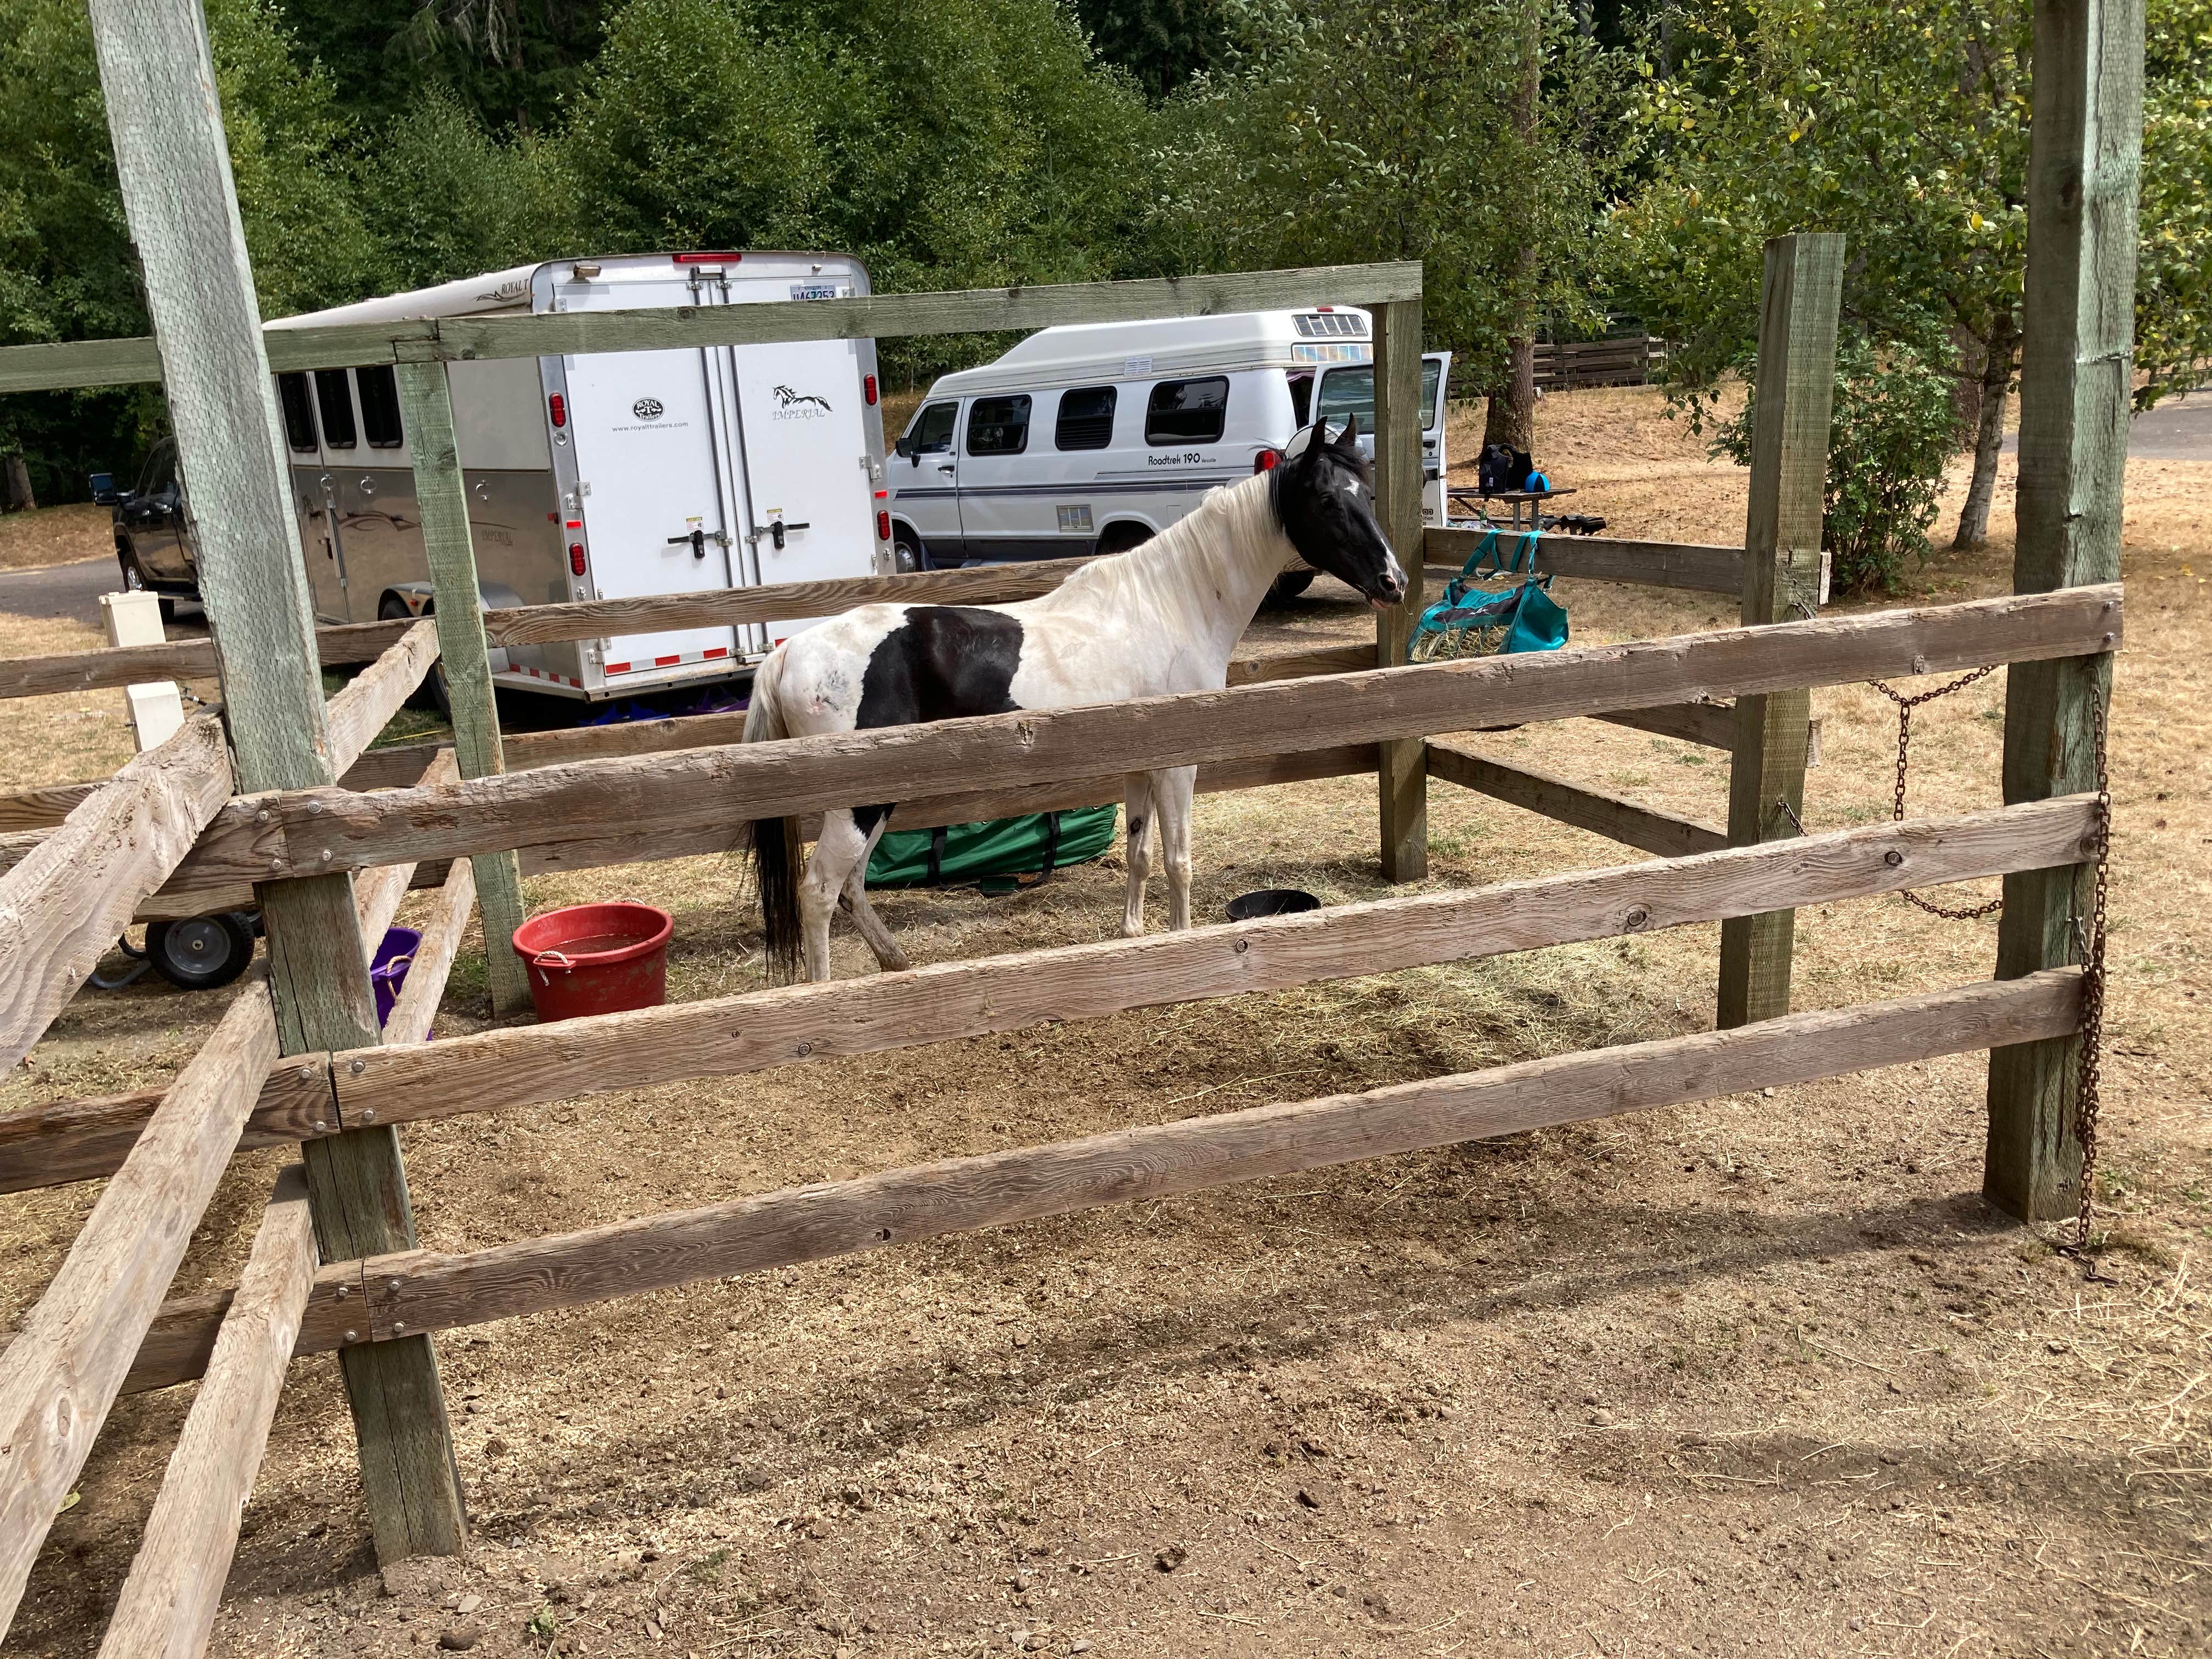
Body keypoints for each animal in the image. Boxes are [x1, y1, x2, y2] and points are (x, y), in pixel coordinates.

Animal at [741, 417, 1406, 982]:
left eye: (1367, 495)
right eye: (1327, 501)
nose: (1393, 582)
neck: (1171, 602)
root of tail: (788, 654)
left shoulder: (1140, 763)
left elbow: (1140, 854)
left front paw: (1134, 935)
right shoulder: (1177, 764)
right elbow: (1178, 861)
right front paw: (1184, 944)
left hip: (875, 798)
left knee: (851, 887)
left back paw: (896, 963)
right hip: (856, 803)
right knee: (819, 892)